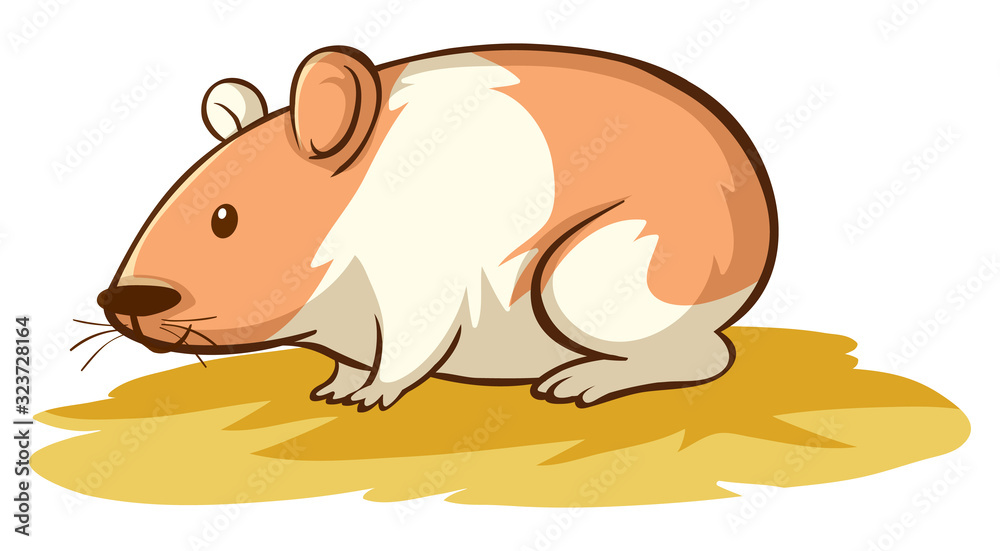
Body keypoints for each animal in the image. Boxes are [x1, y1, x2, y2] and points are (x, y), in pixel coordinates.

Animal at [97, 44, 777, 411]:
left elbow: (403, 357)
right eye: (168, 199)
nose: (118, 302)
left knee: (707, 356)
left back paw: (576, 385)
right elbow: (349, 366)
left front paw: (364, 400)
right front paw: (332, 391)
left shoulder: (421, 295)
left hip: (589, 278)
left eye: (225, 219)